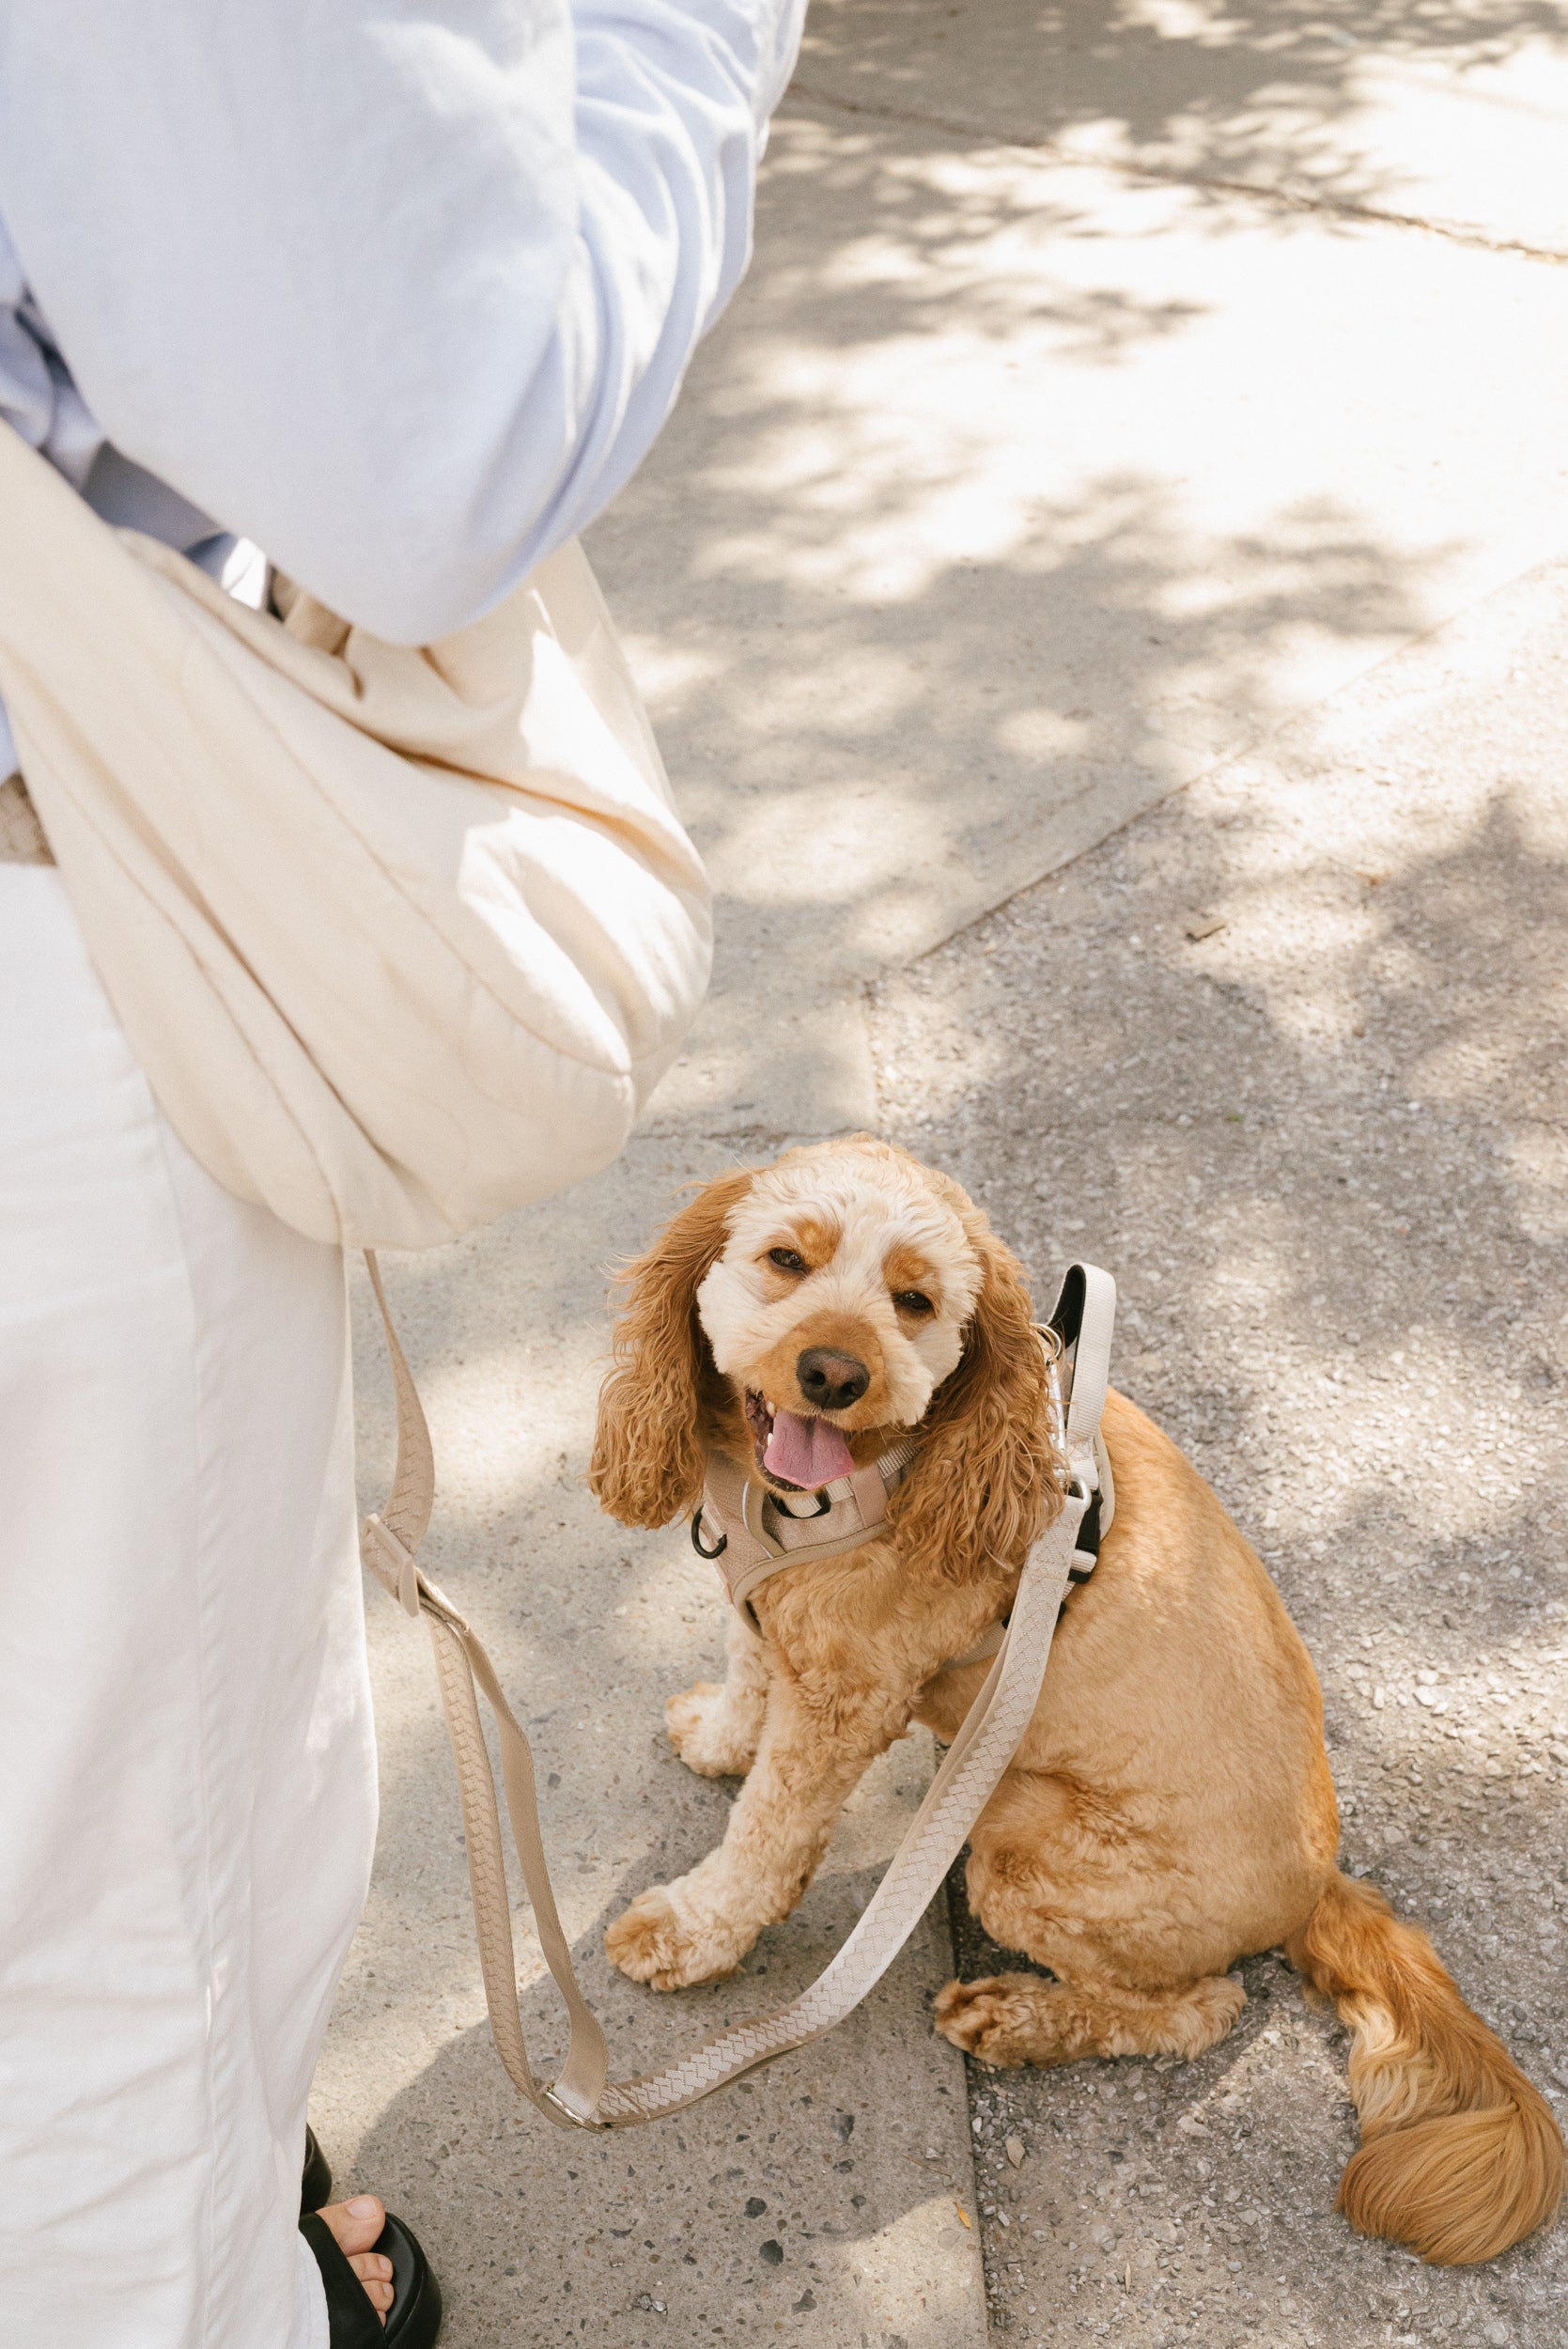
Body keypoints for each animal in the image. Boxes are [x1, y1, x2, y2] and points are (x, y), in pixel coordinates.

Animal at [591, 1128, 1568, 2264]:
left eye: (914, 1300)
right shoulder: (772, 1620)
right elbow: (749, 1677)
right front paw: (716, 1738)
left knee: (1200, 2008)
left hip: (1016, 1841)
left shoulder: (845, 1701)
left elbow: (762, 1840)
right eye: (787, 1259)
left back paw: (1017, 2019)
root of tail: (1323, 1883)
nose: (835, 1373)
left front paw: (689, 1932)